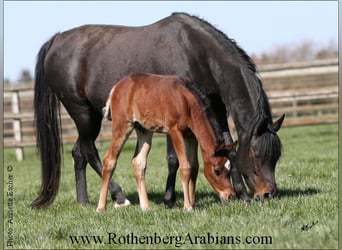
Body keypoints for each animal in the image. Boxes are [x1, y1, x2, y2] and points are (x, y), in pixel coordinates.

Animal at [95, 73, 235, 212]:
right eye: (217, 170)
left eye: (230, 170)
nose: (230, 196)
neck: (186, 101)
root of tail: (116, 87)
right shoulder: (175, 130)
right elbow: (185, 167)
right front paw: (188, 207)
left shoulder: (191, 136)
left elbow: (194, 167)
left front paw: (193, 204)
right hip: (123, 125)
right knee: (109, 160)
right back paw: (101, 207)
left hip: (144, 130)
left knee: (138, 161)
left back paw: (145, 207)